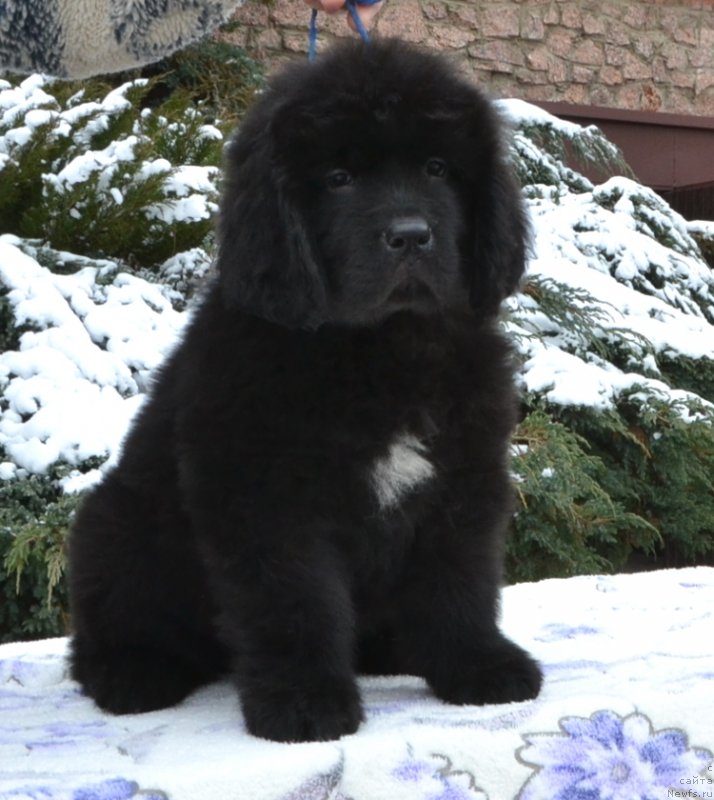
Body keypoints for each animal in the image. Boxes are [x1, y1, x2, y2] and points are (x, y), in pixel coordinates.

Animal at [69, 36, 544, 736]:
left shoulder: (463, 476)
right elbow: (295, 602)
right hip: (116, 523)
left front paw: (478, 665)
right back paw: (132, 674)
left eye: (436, 168)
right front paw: (304, 702)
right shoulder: (268, 498)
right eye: (339, 179)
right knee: (107, 630)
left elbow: (461, 580)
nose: (410, 235)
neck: (381, 348)